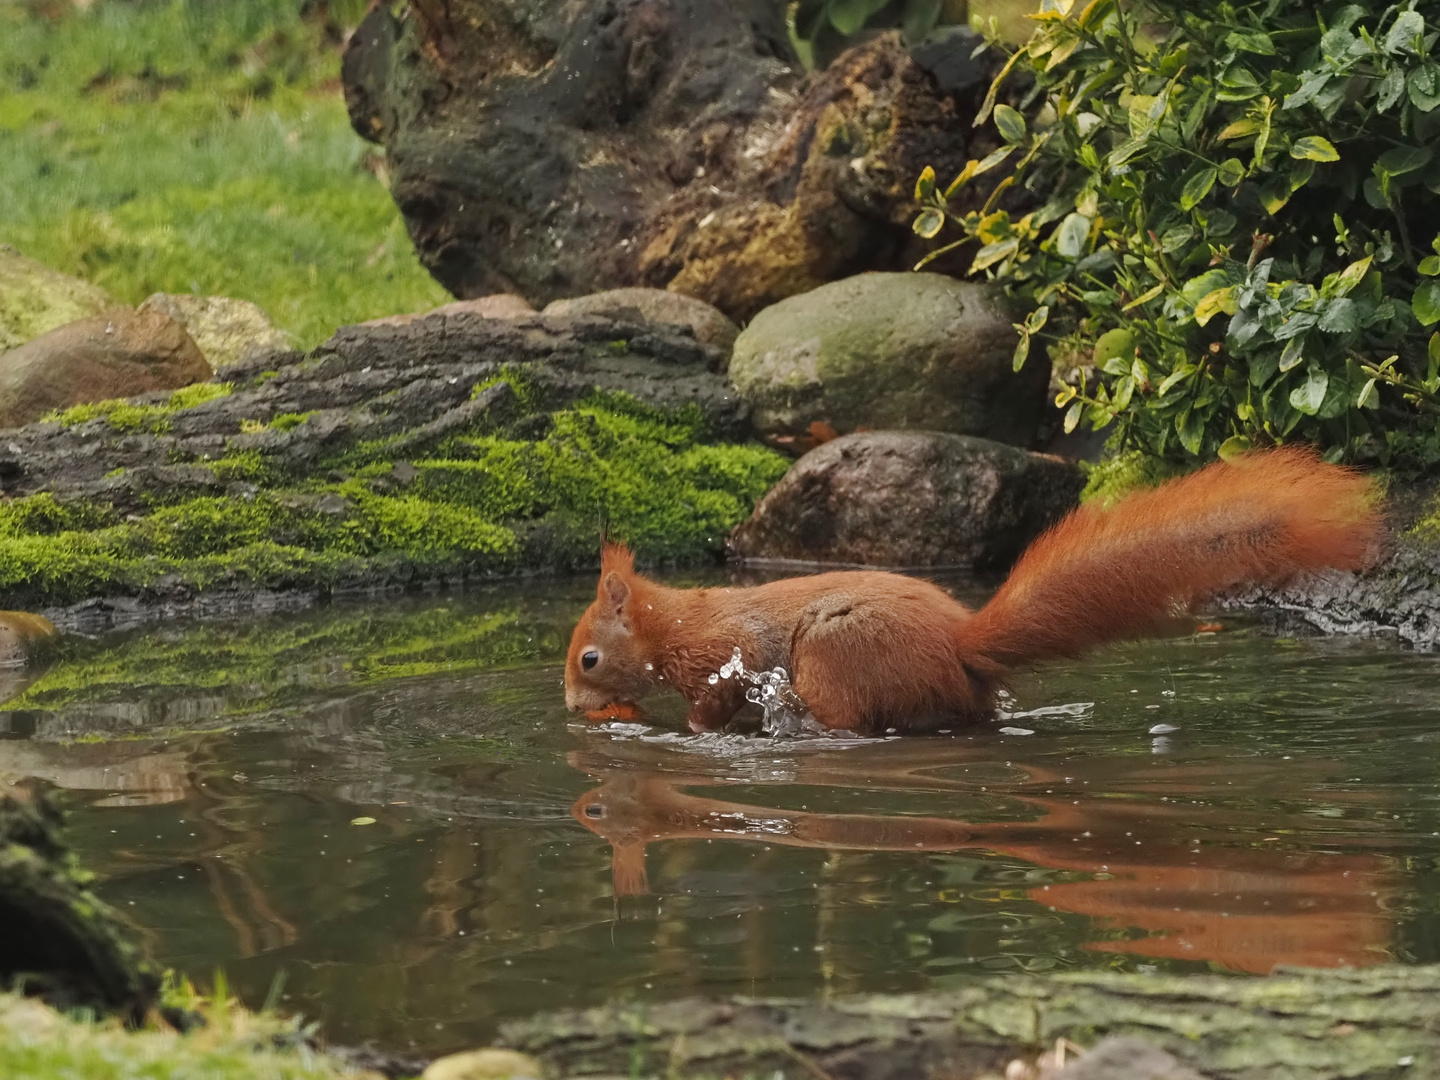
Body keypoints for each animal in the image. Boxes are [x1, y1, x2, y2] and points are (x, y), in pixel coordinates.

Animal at [558, 449, 1370, 737]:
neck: (671, 625)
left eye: (589, 658)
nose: (570, 706)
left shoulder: (722, 654)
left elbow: (713, 705)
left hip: (837, 652)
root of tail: (960, 647)